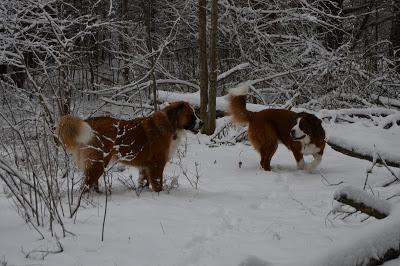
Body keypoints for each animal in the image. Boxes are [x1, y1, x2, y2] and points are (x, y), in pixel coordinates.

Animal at [55, 101, 203, 191]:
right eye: (191, 115)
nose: (202, 123)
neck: (170, 124)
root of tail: (89, 121)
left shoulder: (145, 166)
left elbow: (144, 181)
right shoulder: (157, 164)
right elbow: (157, 183)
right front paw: (159, 194)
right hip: (99, 162)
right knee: (86, 185)